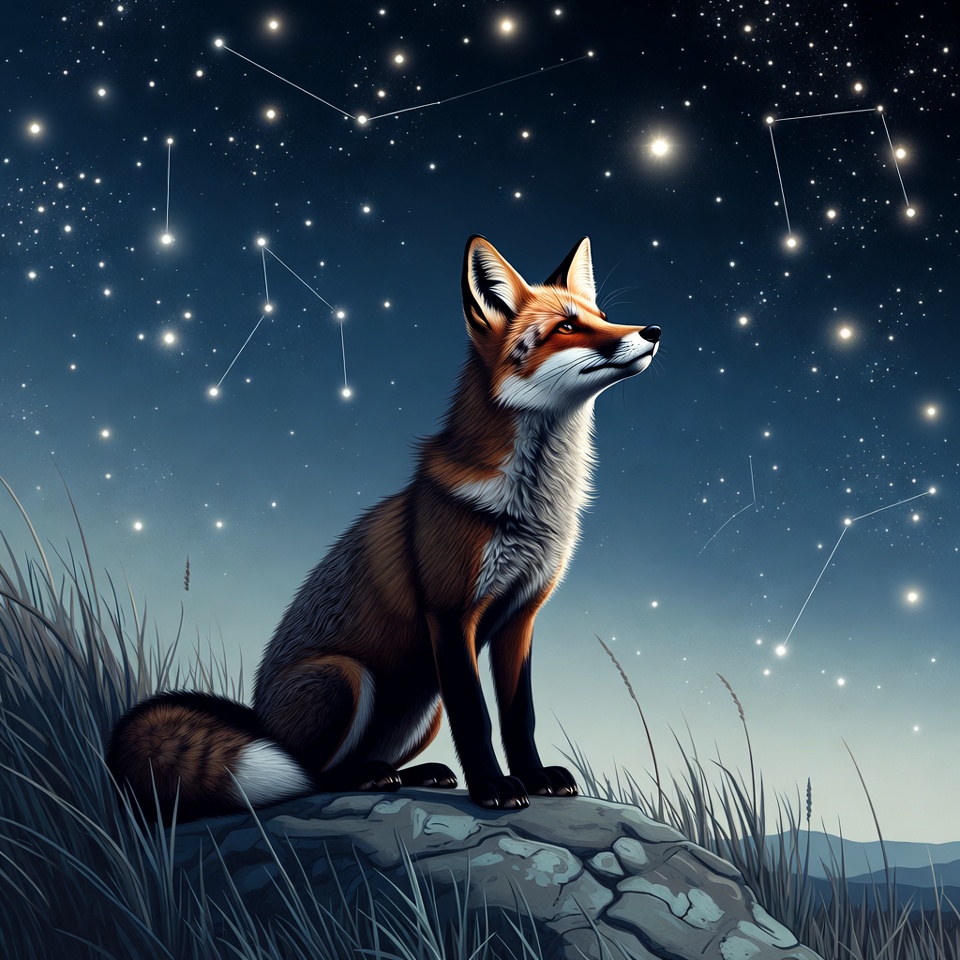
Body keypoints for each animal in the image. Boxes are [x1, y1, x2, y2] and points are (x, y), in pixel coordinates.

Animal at [106, 235, 661, 823]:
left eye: (604, 317)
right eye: (567, 327)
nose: (652, 331)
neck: (531, 507)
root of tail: (259, 723)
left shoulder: (520, 616)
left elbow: (518, 716)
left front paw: (533, 777)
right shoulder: (450, 615)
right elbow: (477, 718)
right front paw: (493, 787)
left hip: (424, 707)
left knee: (362, 763)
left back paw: (408, 773)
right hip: (347, 678)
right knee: (311, 776)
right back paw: (369, 778)